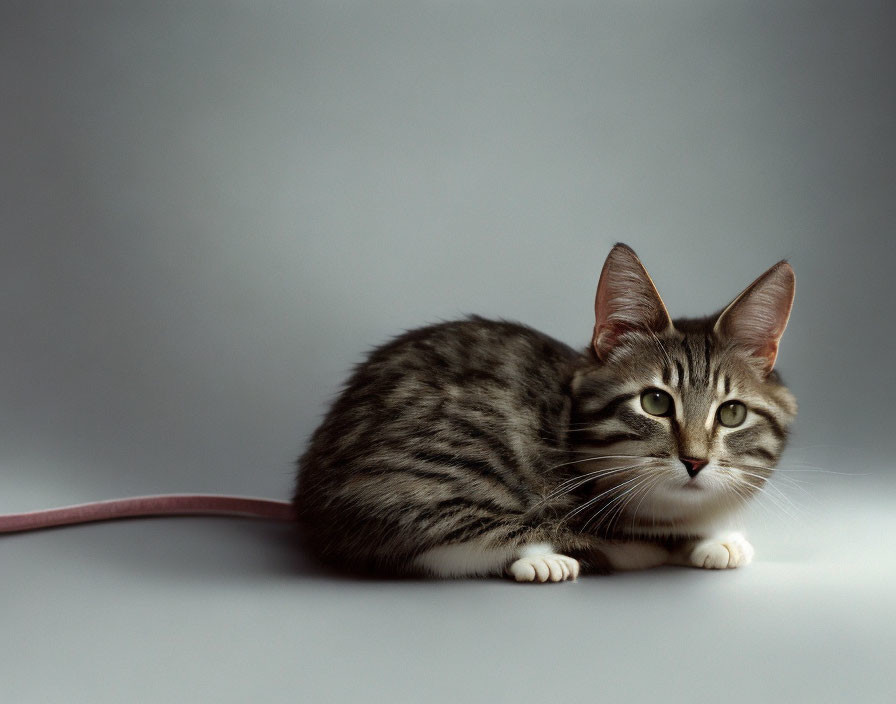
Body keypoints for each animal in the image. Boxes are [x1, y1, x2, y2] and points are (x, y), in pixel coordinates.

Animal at [294, 245, 800, 580]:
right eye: (655, 402)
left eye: (731, 413)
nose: (695, 461)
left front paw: (718, 538)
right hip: (437, 458)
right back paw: (544, 558)